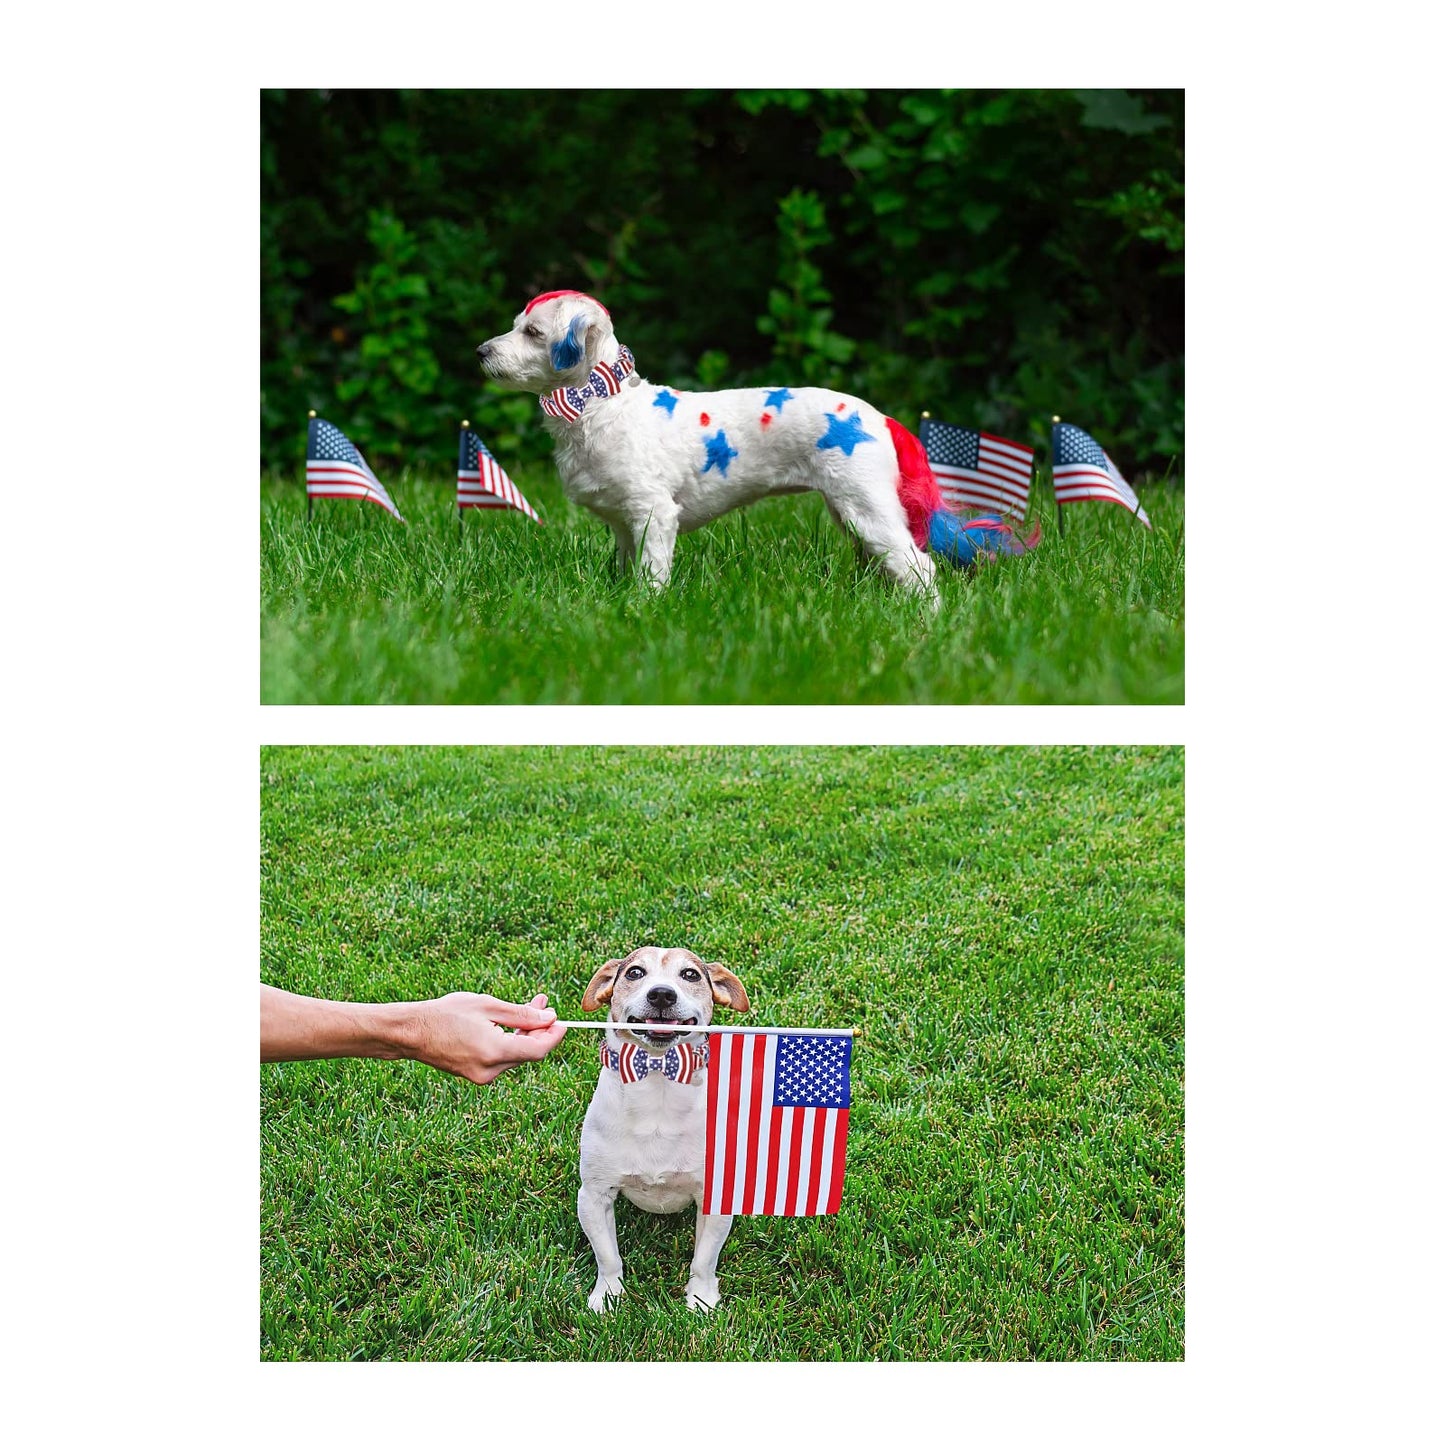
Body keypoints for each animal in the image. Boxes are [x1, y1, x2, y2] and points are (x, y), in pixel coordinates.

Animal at [476, 290, 1040, 595]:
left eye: (532, 332)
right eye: (514, 325)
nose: (481, 351)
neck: (601, 405)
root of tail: (881, 418)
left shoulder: (655, 515)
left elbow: (653, 574)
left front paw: (645, 607)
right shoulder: (623, 523)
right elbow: (624, 566)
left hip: (868, 507)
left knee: (919, 567)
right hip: (853, 512)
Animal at [578, 942, 757, 1317]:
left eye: (690, 974)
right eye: (635, 972)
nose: (662, 994)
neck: (658, 1078)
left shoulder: (713, 1200)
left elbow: (704, 1261)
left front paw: (700, 1299)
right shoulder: (593, 1196)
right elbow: (608, 1258)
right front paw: (608, 1297)